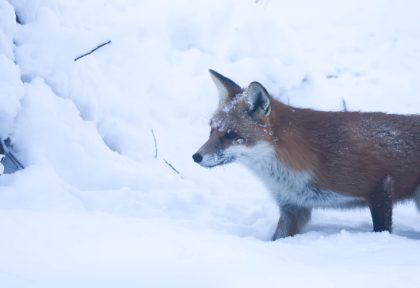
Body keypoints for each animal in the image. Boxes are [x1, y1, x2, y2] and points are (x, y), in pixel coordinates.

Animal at [193, 70, 420, 241]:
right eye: (212, 130)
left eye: (230, 135)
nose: (196, 157)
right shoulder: (294, 207)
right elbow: (279, 238)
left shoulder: (379, 187)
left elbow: (382, 229)